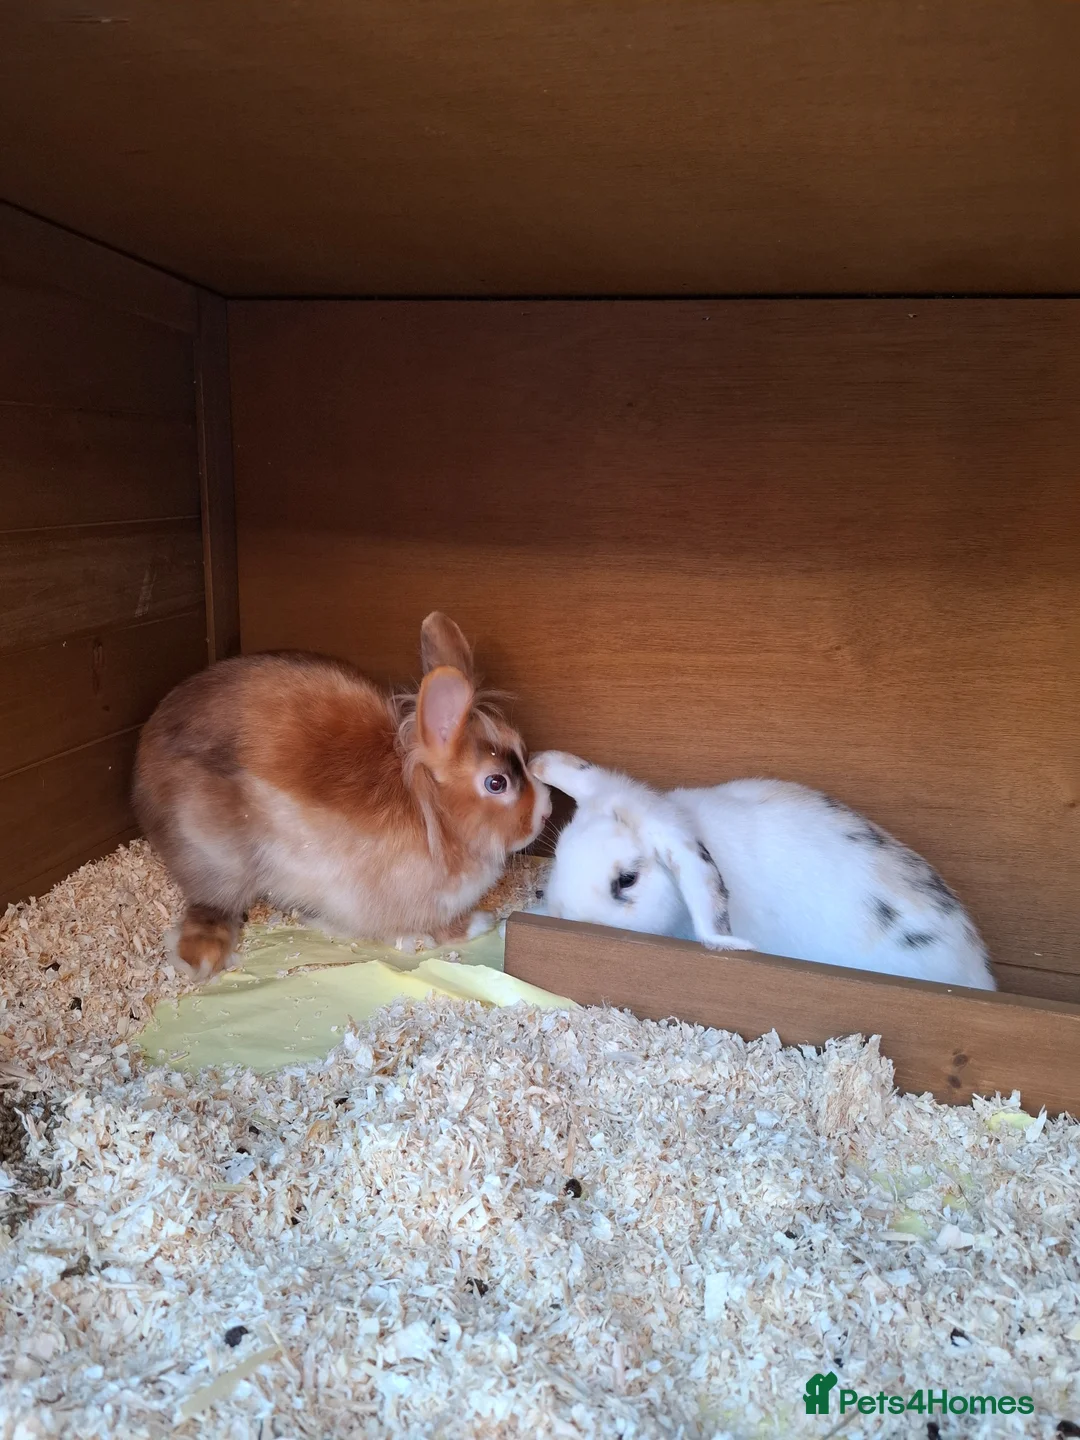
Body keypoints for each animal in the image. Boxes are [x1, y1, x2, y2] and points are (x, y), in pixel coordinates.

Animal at [133, 613, 551, 979]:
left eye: (521, 747)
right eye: (496, 783)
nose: (546, 812)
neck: (435, 813)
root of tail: (142, 766)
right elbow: (439, 930)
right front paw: (482, 922)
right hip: (216, 851)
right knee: (211, 904)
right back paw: (201, 958)